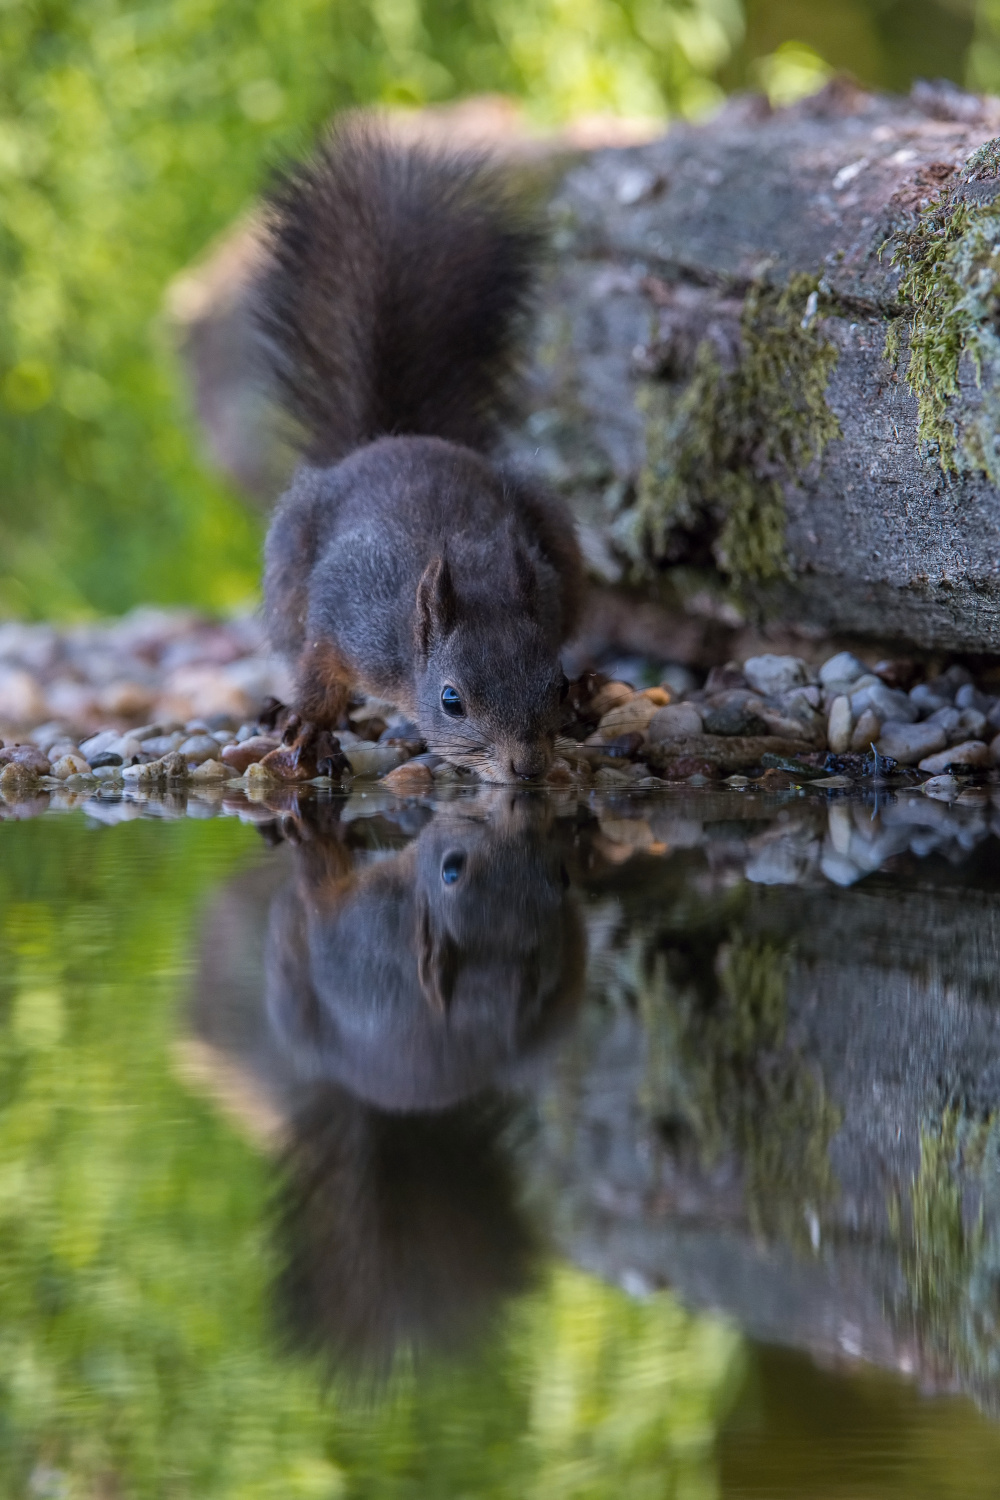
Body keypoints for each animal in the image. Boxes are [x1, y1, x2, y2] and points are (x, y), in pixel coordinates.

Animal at [256, 114, 587, 786]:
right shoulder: (347, 625)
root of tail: (391, 438)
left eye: (558, 686)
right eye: (451, 700)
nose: (527, 768)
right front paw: (309, 724)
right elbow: (316, 672)